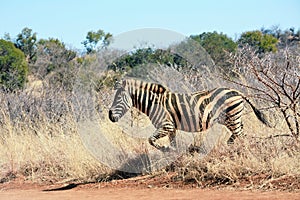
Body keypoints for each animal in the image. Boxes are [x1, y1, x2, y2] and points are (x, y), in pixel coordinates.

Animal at [108, 79, 270, 151]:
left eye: (118, 99)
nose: (110, 116)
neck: (153, 102)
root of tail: (237, 91)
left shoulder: (166, 125)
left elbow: (151, 140)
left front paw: (164, 149)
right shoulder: (172, 128)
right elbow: (172, 143)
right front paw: (173, 153)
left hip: (232, 117)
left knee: (240, 135)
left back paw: (242, 150)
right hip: (232, 118)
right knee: (239, 132)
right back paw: (230, 146)